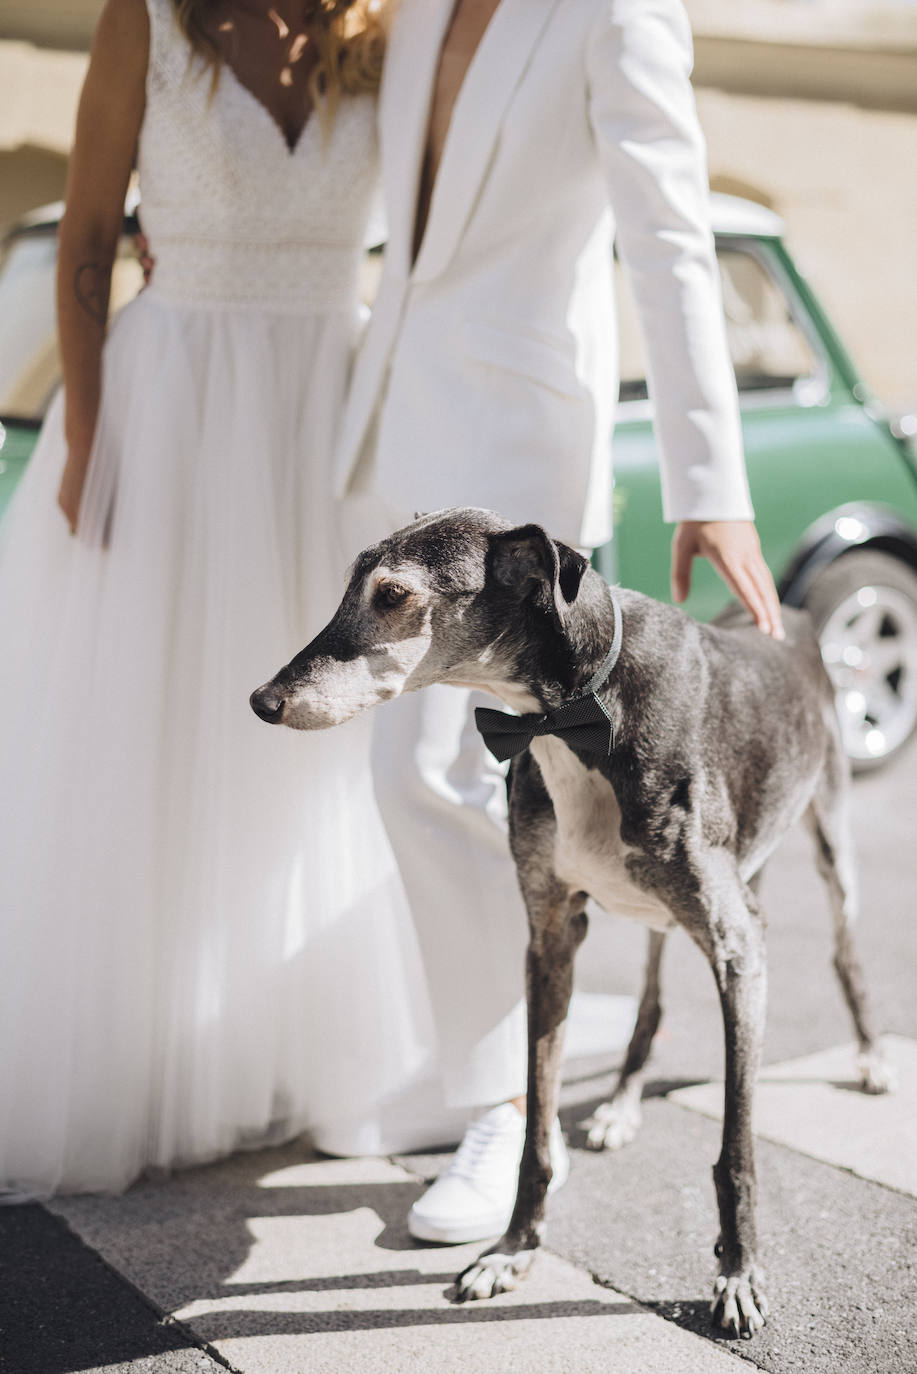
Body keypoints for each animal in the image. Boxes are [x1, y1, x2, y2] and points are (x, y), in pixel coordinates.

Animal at [247, 508, 890, 1341]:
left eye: (391, 595)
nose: (262, 701)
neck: (578, 712)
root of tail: (789, 610)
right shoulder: (550, 938)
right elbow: (536, 1129)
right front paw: (512, 1249)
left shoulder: (737, 949)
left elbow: (736, 1147)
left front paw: (740, 1272)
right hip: (662, 910)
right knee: (650, 995)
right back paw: (617, 1103)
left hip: (827, 844)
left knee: (843, 953)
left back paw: (871, 1056)